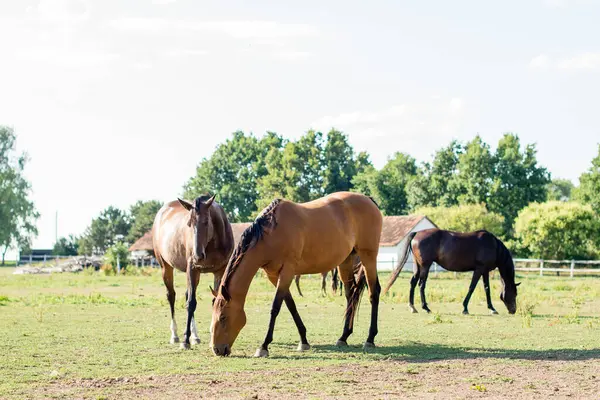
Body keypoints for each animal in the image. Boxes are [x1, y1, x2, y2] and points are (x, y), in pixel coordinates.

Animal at [151, 195, 233, 348]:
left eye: (206, 222)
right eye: (189, 224)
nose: (197, 255)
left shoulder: (220, 271)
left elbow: (215, 300)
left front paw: (212, 335)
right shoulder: (192, 268)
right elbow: (191, 303)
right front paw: (185, 341)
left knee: (186, 293)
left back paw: (195, 336)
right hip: (166, 267)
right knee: (171, 296)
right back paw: (175, 335)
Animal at [209, 192, 382, 358]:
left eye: (223, 317)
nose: (217, 349)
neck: (271, 232)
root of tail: (369, 200)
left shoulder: (287, 272)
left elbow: (275, 307)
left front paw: (264, 346)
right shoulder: (274, 276)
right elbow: (290, 305)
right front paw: (303, 341)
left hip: (368, 257)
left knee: (374, 293)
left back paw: (370, 339)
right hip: (346, 261)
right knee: (350, 295)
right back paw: (343, 336)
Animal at [384, 228, 520, 316]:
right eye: (514, 293)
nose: (513, 310)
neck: (494, 246)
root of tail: (417, 233)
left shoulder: (485, 271)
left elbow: (487, 288)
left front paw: (491, 308)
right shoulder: (479, 269)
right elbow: (472, 287)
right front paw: (465, 308)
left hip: (418, 266)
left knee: (413, 282)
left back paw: (412, 307)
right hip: (425, 266)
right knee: (421, 285)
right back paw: (426, 308)